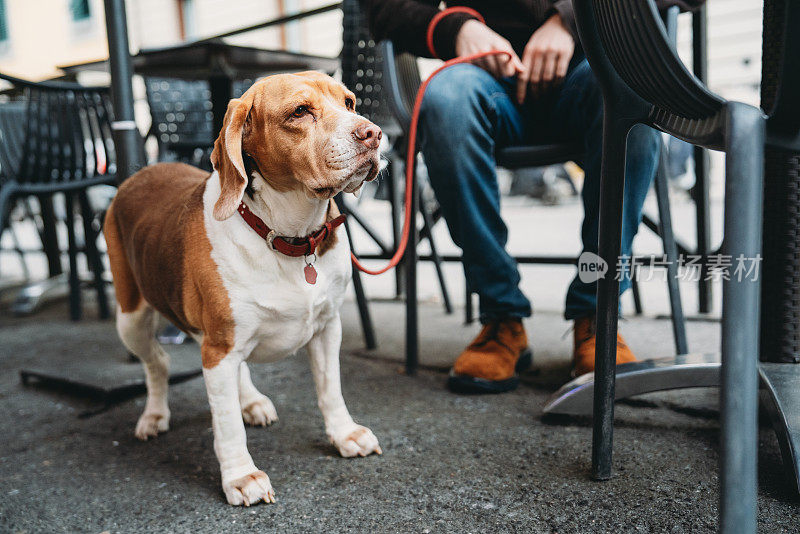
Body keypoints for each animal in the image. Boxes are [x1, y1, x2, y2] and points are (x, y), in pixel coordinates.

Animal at [104, 71, 384, 506]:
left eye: (350, 103)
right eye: (299, 111)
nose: (373, 134)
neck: (289, 236)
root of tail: (139, 173)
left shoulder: (326, 328)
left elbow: (330, 389)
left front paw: (344, 434)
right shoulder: (218, 350)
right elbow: (227, 424)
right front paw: (241, 477)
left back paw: (250, 400)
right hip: (130, 317)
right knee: (158, 363)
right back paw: (154, 414)